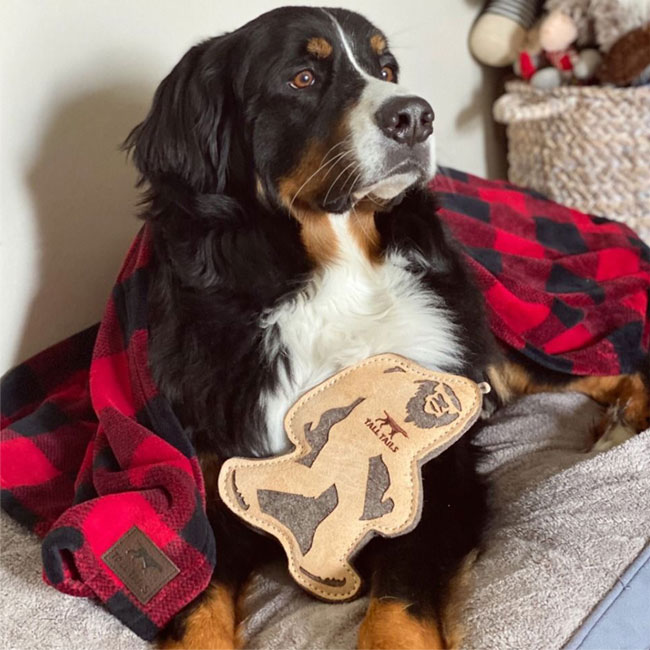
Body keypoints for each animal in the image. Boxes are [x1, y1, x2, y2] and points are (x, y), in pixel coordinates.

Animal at [123, 6, 650, 648]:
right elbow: (194, 609)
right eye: (302, 77)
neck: (336, 274)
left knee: (614, 366)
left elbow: (398, 599)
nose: (416, 116)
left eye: (387, 68)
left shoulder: (435, 475)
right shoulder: (209, 490)